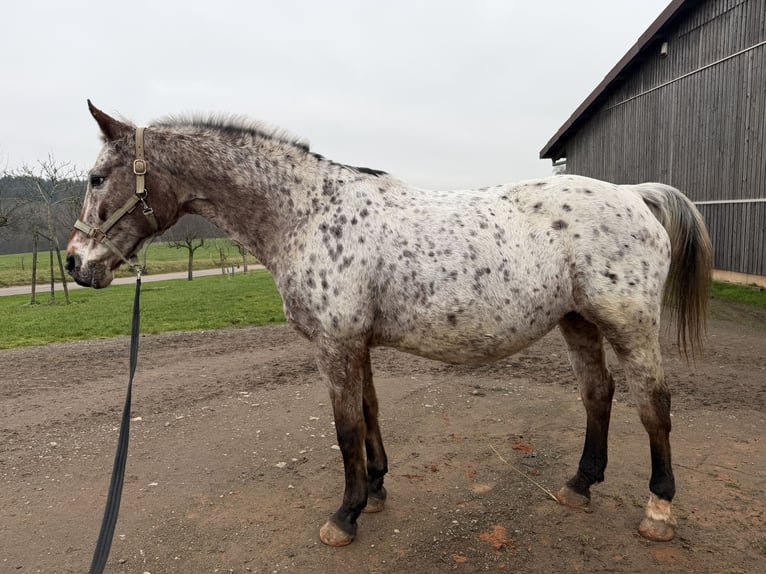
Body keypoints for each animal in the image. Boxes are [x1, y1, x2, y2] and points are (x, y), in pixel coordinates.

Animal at [66, 101, 712, 547]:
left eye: (97, 178)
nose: (75, 263)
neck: (307, 213)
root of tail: (634, 194)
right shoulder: (358, 344)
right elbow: (370, 415)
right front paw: (374, 492)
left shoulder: (334, 346)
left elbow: (345, 427)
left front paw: (343, 516)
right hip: (577, 320)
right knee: (597, 394)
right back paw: (580, 485)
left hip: (628, 324)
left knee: (653, 405)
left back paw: (658, 511)